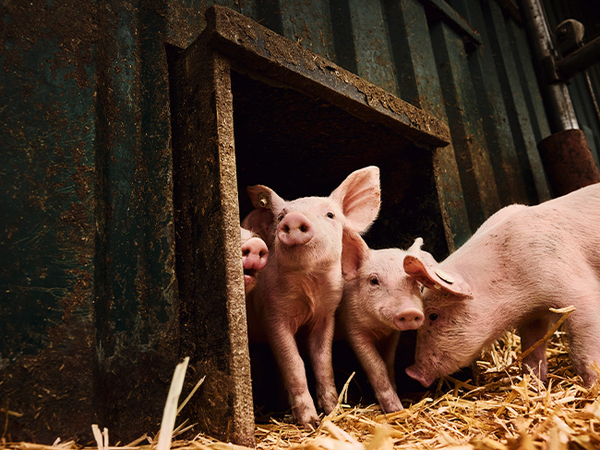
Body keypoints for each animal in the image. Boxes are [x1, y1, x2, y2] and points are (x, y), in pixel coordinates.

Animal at [240, 167, 378, 428]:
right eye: (281, 216)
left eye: (330, 214)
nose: (293, 219)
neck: (310, 285)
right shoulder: (273, 315)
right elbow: (294, 363)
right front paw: (310, 423)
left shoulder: (326, 315)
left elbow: (323, 361)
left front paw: (332, 411)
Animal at [404, 182, 600, 386]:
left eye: (433, 316)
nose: (411, 372)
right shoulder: (532, 316)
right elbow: (531, 350)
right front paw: (532, 385)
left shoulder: (576, 288)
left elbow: (582, 350)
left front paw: (592, 386)